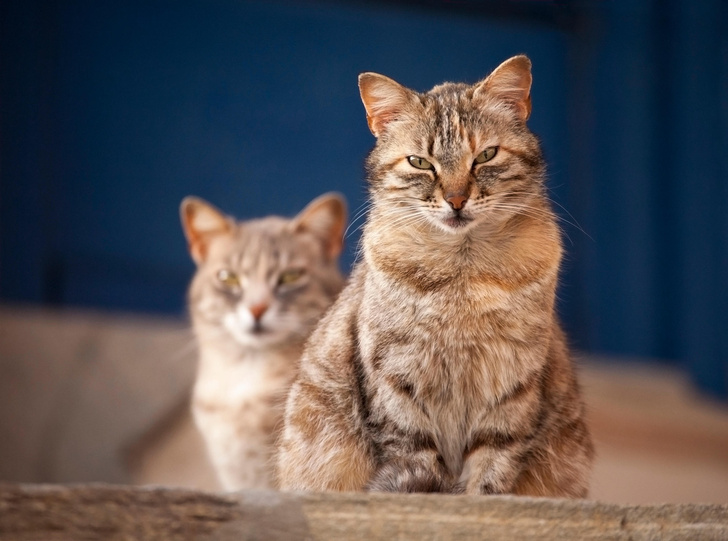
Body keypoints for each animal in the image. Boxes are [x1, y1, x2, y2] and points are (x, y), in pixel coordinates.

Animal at [276, 56, 596, 498]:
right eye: (420, 162)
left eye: (486, 155)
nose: (456, 200)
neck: (461, 275)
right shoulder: (395, 380)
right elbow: (416, 462)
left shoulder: (512, 385)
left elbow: (490, 472)